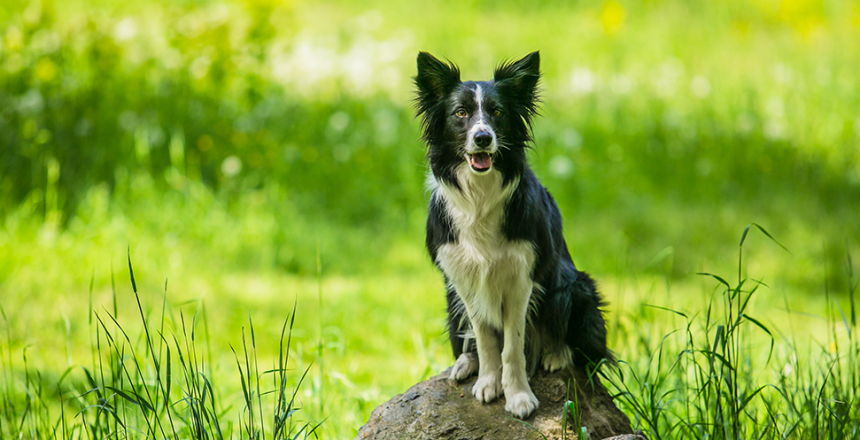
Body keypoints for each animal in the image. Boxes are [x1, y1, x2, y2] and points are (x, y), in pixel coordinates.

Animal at [414, 49, 612, 418]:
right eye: (460, 113)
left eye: (497, 112)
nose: (483, 138)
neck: (480, 196)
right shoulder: (465, 279)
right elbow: (486, 338)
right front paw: (488, 382)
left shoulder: (521, 278)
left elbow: (513, 345)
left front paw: (519, 396)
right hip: (451, 300)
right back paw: (465, 363)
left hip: (574, 287)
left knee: (580, 346)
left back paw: (556, 354)